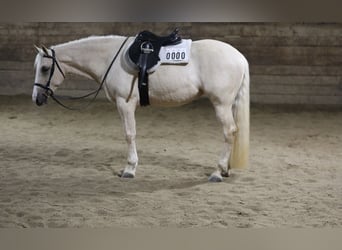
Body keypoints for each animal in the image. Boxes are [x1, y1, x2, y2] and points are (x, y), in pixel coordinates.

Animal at [32, 34, 250, 182]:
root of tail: (239, 56)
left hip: (221, 104)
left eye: (44, 68)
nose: (36, 99)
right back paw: (225, 169)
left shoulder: (125, 103)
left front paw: (129, 169)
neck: (109, 58)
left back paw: (217, 172)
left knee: (229, 132)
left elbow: (129, 134)